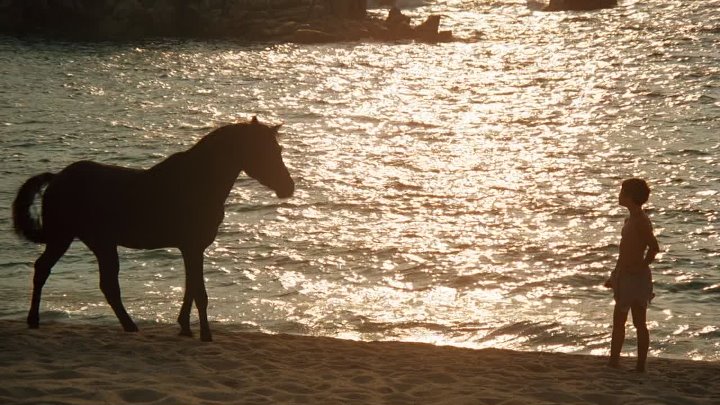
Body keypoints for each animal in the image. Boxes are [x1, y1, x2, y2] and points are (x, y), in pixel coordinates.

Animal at [12, 117, 294, 342]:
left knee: (83, 279)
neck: (198, 182)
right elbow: (199, 292)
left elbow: (190, 288)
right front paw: (205, 334)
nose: (288, 187)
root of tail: (57, 178)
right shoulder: (192, 247)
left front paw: (185, 327)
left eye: (278, 148)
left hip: (92, 242)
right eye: (262, 151)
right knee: (61, 274)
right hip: (72, 239)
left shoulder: (193, 249)